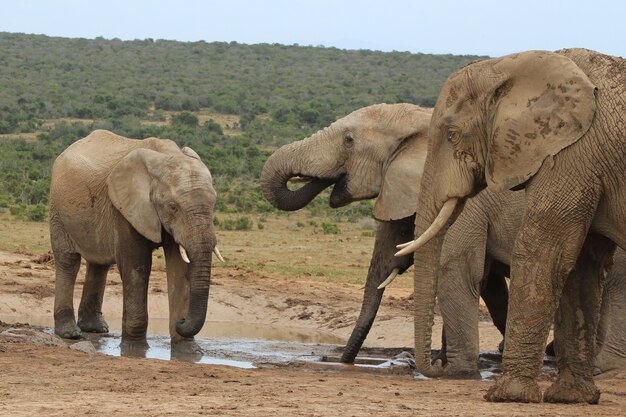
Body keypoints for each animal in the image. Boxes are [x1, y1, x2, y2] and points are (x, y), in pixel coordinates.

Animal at [50, 129, 222, 342]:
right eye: (173, 207)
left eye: (213, 204)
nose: (181, 321)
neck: (166, 156)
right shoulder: (124, 206)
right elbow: (136, 265)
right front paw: (135, 343)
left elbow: (178, 266)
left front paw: (183, 343)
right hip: (57, 208)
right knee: (67, 261)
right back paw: (70, 333)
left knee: (99, 264)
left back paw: (95, 328)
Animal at [394, 48, 624, 404]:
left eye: (452, 135)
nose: (436, 366)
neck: (507, 67)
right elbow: (580, 266)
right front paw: (571, 398)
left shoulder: (572, 155)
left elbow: (544, 253)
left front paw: (507, 395)